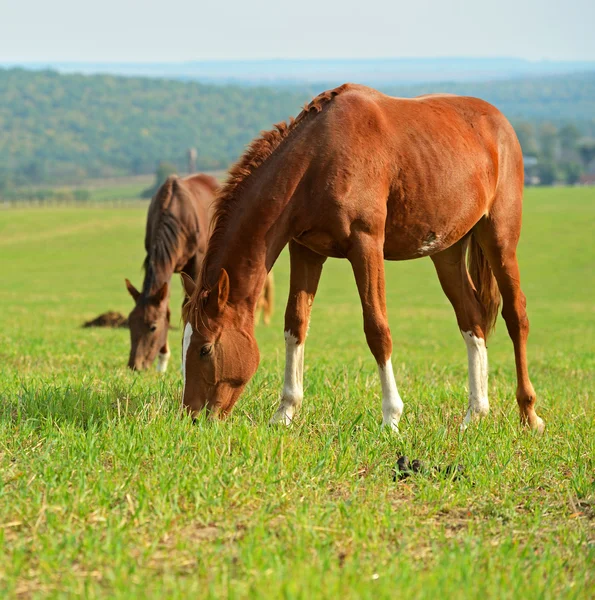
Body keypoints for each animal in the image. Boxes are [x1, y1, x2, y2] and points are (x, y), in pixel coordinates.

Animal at [180, 83, 544, 432]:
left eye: (205, 349)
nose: (192, 417)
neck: (317, 158)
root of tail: (499, 121)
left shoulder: (366, 245)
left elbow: (377, 329)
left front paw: (391, 418)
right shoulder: (306, 250)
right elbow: (295, 324)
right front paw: (285, 412)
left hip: (499, 237)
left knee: (516, 316)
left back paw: (529, 414)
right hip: (447, 251)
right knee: (472, 318)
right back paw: (474, 414)